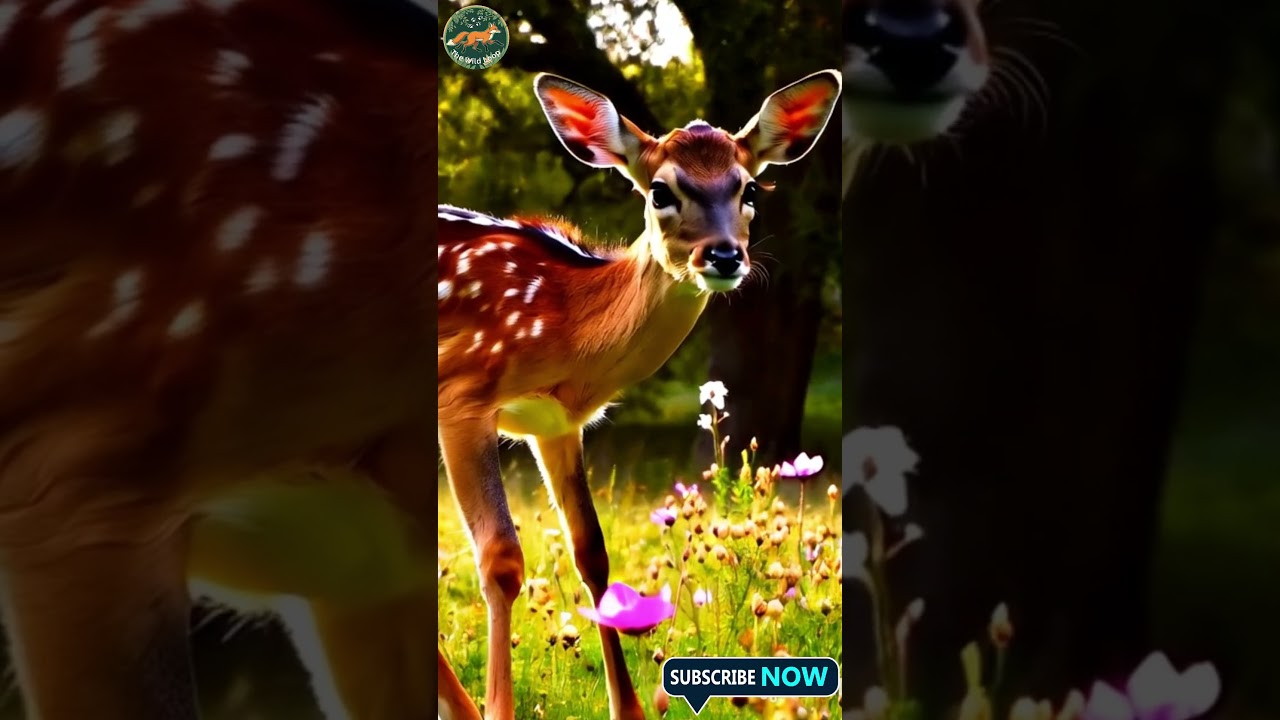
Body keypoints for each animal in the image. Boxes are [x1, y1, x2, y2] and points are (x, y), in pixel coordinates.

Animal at [436, 70, 841, 719]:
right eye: (660, 190)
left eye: (750, 188)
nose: (724, 255)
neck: (564, 320)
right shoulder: (463, 395)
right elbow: (500, 559)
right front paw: (498, 709)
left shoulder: (556, 423)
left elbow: (592, 554)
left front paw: (625, 708)